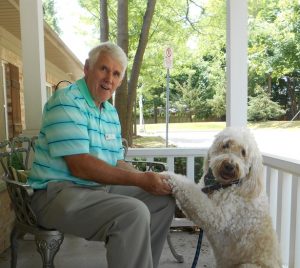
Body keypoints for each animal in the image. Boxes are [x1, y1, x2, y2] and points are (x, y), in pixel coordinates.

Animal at [166, 126, 282, 266]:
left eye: (243, 152)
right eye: (225, 145)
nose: (229, 166)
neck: (225, 185)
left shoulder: (216, 216)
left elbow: (190, 191)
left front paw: (168, 175)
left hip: (247, 265)